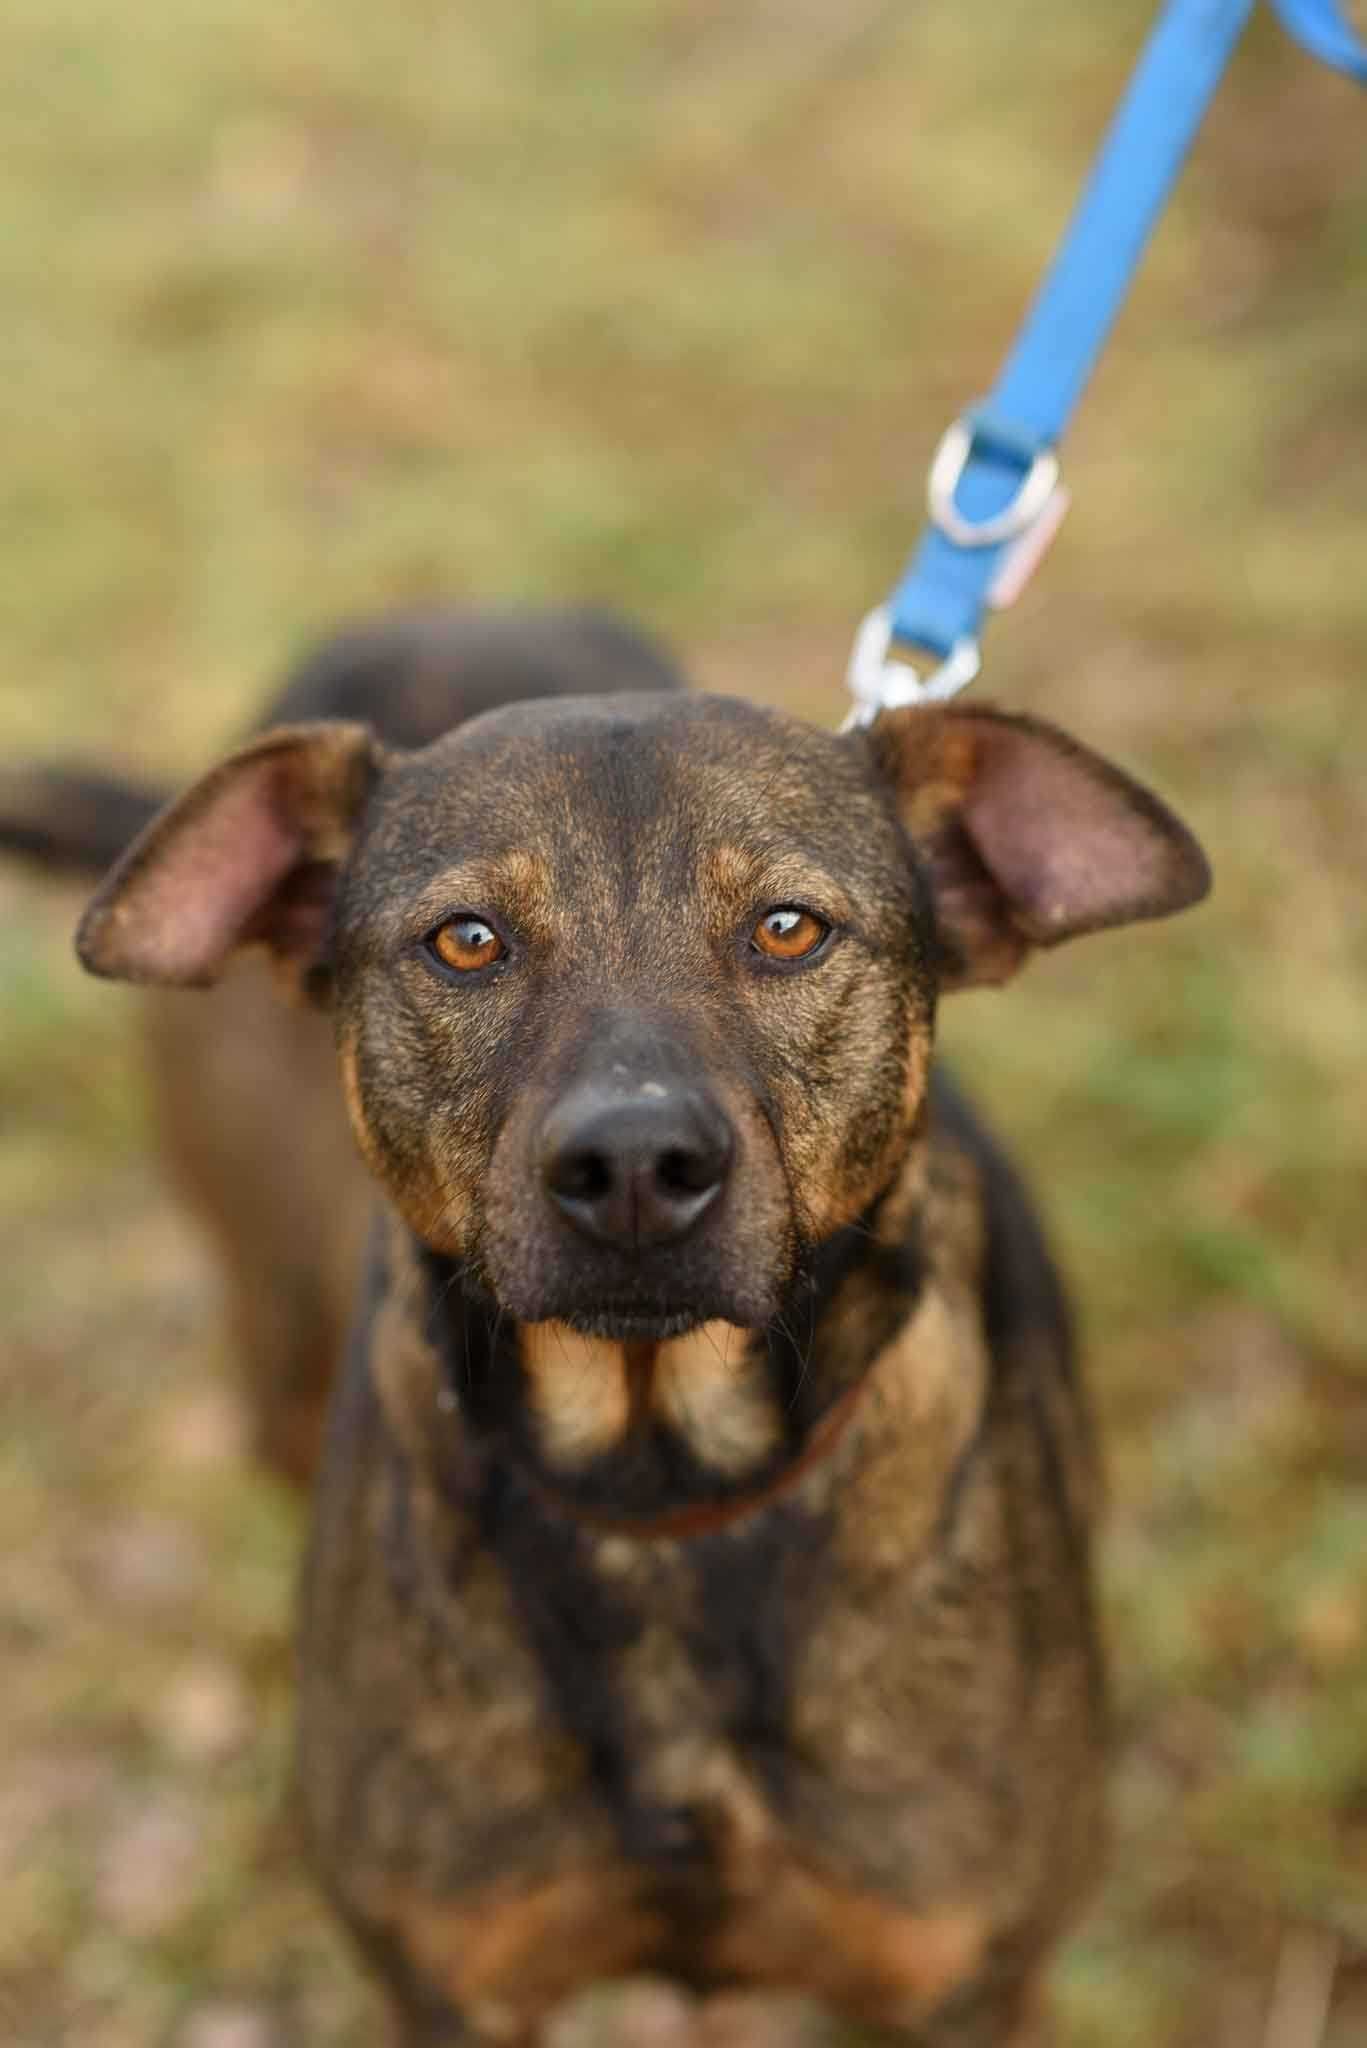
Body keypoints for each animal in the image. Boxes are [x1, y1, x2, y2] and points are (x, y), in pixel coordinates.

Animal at [26, 610, 1213, 2048]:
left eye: (786, 929)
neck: (657, 1484)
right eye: (466, 939)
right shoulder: (455, 1988)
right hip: (270, 1345)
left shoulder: (958, 1984)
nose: (635, 1163)